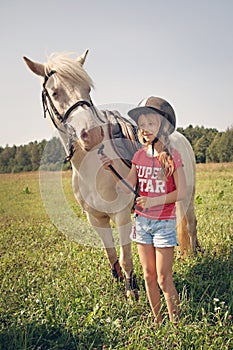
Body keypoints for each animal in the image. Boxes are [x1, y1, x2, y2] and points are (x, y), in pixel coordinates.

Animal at [22, 50, 202, 298]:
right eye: (55, 92)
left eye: (87, 89)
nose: (92, 134)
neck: (92, 168)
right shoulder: (96, 218)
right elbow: (110, 253)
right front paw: (118, 280)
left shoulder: (121, 215)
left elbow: (126, 258)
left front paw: (131, 291)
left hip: (188, 196)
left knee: (191, 223)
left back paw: (195, 252)